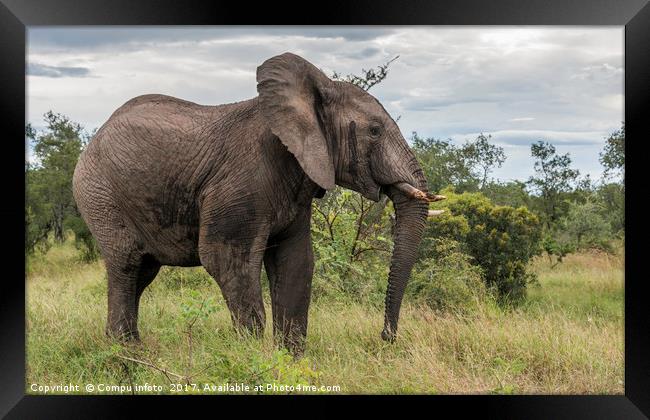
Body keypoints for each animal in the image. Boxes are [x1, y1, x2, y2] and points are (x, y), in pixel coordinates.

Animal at [73, 52, 442, 354]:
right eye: (375, 131)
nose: (386, 337)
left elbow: (296, 262)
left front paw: (290, 361)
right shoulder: (241, 181)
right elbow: (225, 257)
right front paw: (250, 358)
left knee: (143, 272)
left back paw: (129, 349)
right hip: (99, 193)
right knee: (127, 265)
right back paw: (125, 354)